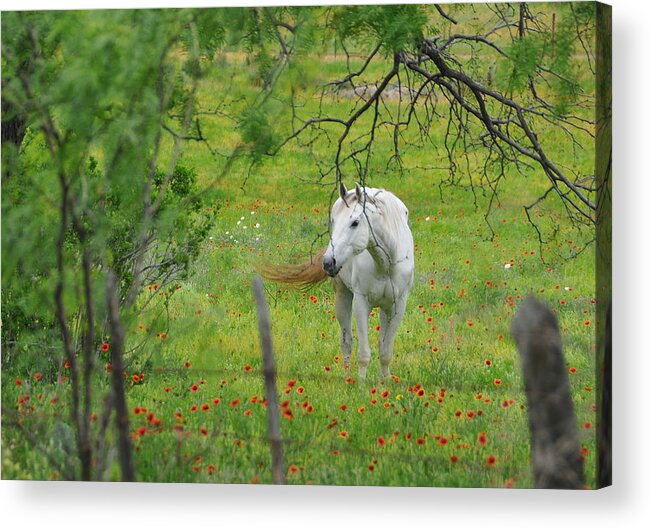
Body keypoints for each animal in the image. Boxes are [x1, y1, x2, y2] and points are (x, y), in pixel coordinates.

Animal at [262, 184, 416, 378]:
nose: (329, 262)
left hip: (384, 308)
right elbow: (363, 353)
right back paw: (347, 378)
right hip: (343, 296)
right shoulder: (361, 303)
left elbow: (385, 352)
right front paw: (361, 384)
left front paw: (384, 383)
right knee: (347, 342)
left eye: (355, 223)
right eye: (333, 221)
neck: (386, 265)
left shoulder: (398, 306)